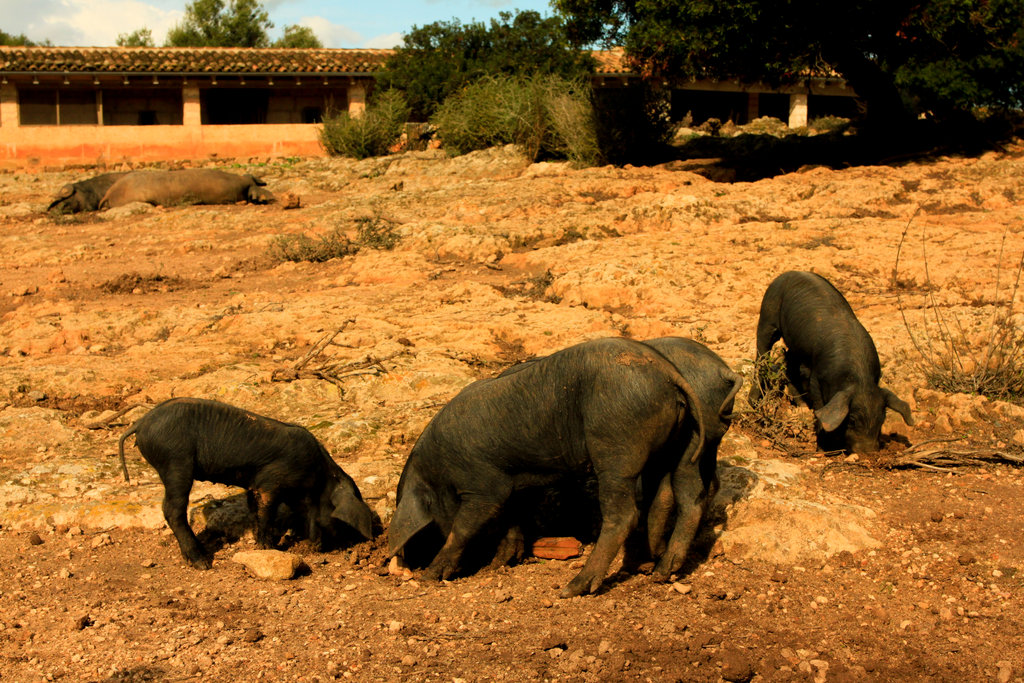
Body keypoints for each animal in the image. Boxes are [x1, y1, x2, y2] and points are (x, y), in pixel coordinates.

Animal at [119, 397, 374, 569]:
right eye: (340, 521)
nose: (339, 546)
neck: (317, 476)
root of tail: (141, 422)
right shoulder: (270, 483)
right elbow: (266, 512)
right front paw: (268, 547)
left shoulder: (255, 485)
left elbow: (255, 510)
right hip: (176, 462)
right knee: (172, 509)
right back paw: (202, 562)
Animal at [387, 337, 708, 598]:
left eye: (426, 530)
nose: (413, 562)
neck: (438, 471)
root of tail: (666, 373)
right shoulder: (511, 485)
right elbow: (511, 521)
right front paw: (499, 564)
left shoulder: (482, 485)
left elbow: (463, 528)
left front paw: (430, 576)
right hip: (684, 444)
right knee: (686, 498)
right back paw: (661, 569)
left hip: (616, 448)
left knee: (624, 514)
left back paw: (572, 588)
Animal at [745, 270, 913, 454]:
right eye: (852, 420)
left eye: (881, 420)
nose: (868, 452)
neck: (858, 377)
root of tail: (788, 273)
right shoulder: (817, 376)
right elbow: (820, 406)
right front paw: (824, 448)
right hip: (767, 314)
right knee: (762, 353)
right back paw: (753, 402)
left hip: (796, 345)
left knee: (789, 362)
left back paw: (801, 405)